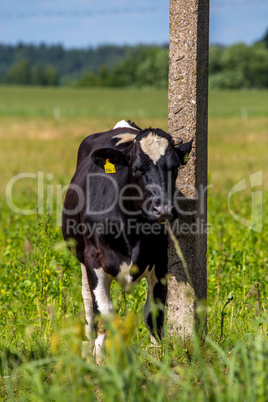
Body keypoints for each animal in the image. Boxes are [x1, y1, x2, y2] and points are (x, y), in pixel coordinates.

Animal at [61, 119, 192, 362]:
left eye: (176, 167)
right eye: (137, 169)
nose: (163, 209)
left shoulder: (161, 261)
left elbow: (153, 313)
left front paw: (158, 356)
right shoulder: (94, 258)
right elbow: (104, 310)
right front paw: (100, 359)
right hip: (82, 257)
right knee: (88, 304)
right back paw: (89, 345)